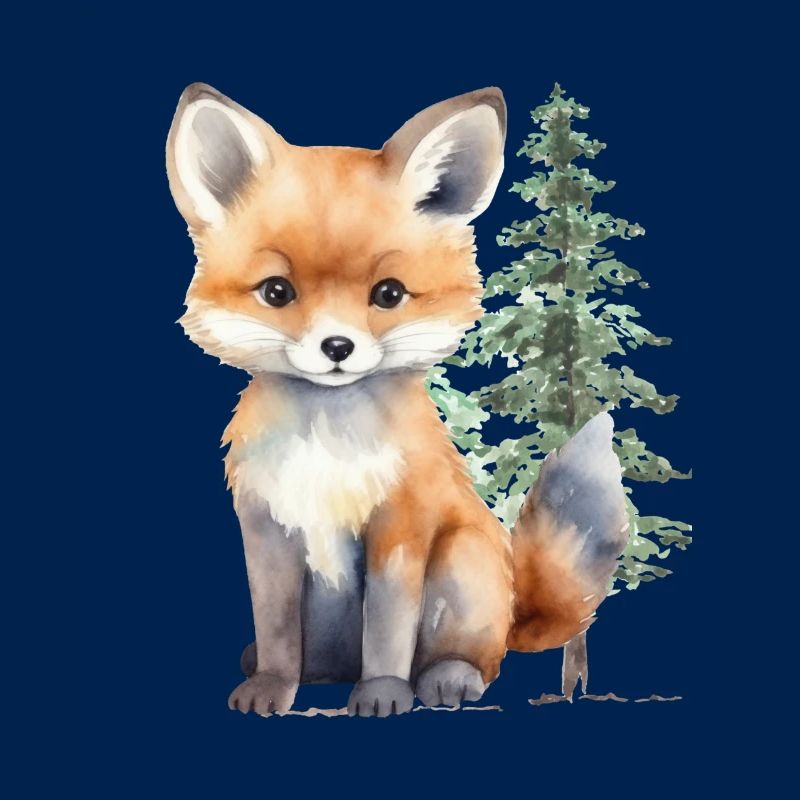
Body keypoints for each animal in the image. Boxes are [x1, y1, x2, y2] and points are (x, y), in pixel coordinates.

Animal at [165, 83, 628, 717]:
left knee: (479, 660)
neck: (326, 445)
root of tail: (514, 607)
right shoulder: (267, 531)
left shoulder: (400, 527)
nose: (337, 346)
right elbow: (276, 628)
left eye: (388, 294)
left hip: (461, 562)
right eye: (277, 292)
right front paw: (271, 685)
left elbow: (388, 629)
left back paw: (447, 679)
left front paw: (383, 692)